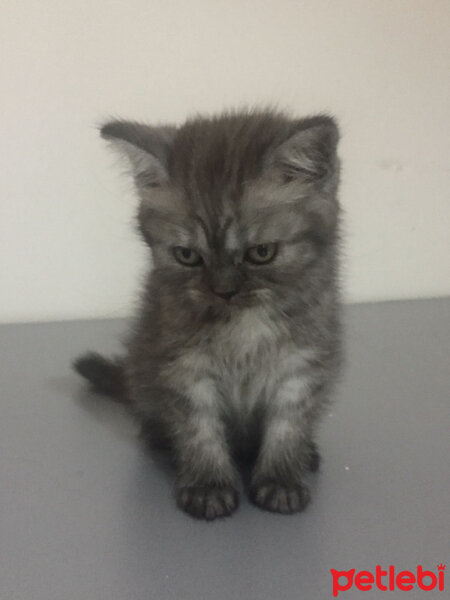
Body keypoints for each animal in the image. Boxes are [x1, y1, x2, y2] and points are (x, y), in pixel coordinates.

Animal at [74, 108, 342, 520]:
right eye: (187, 255)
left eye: (261, 252)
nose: (224, 290)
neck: (245, 325)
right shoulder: (182, 363)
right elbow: (198, 426)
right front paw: (207, 484)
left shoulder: (303, 360)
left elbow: (288, 423)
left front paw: (281, 477)